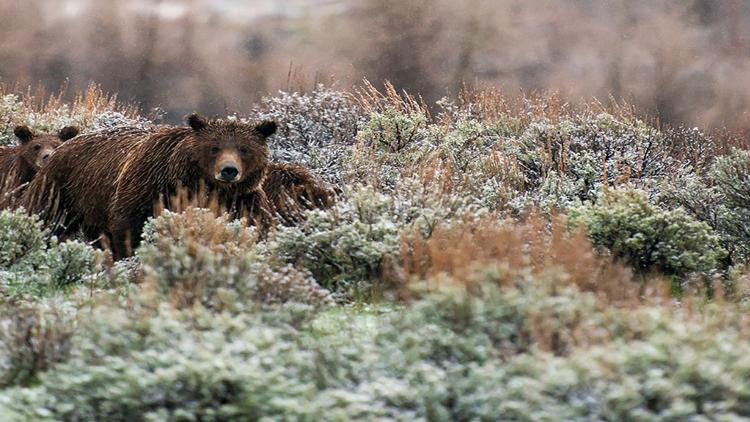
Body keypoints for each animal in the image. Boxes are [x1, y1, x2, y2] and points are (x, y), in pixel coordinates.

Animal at [26, 113, 280, 258]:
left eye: (244, 149)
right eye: (214, 147)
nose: (228, 170)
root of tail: (63, 146)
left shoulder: (243, 200)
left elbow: (255, 227)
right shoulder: (149, 186)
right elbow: (128, 227)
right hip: (61, 187)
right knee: (45, 216)